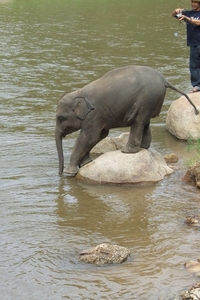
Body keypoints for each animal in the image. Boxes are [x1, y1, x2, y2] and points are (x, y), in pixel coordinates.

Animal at [55, 64, 198, 175]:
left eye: (61, 118)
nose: (60, 174)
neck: (78, 93)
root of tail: (164, 79)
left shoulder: (94, 116)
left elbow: (90, 136)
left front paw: (69, 172)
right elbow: (99, 135)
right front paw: (86, 163)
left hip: (145, 98)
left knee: (137, 120)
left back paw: (127, 151)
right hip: (150, 100)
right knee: (144, 121)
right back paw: (143, 147)